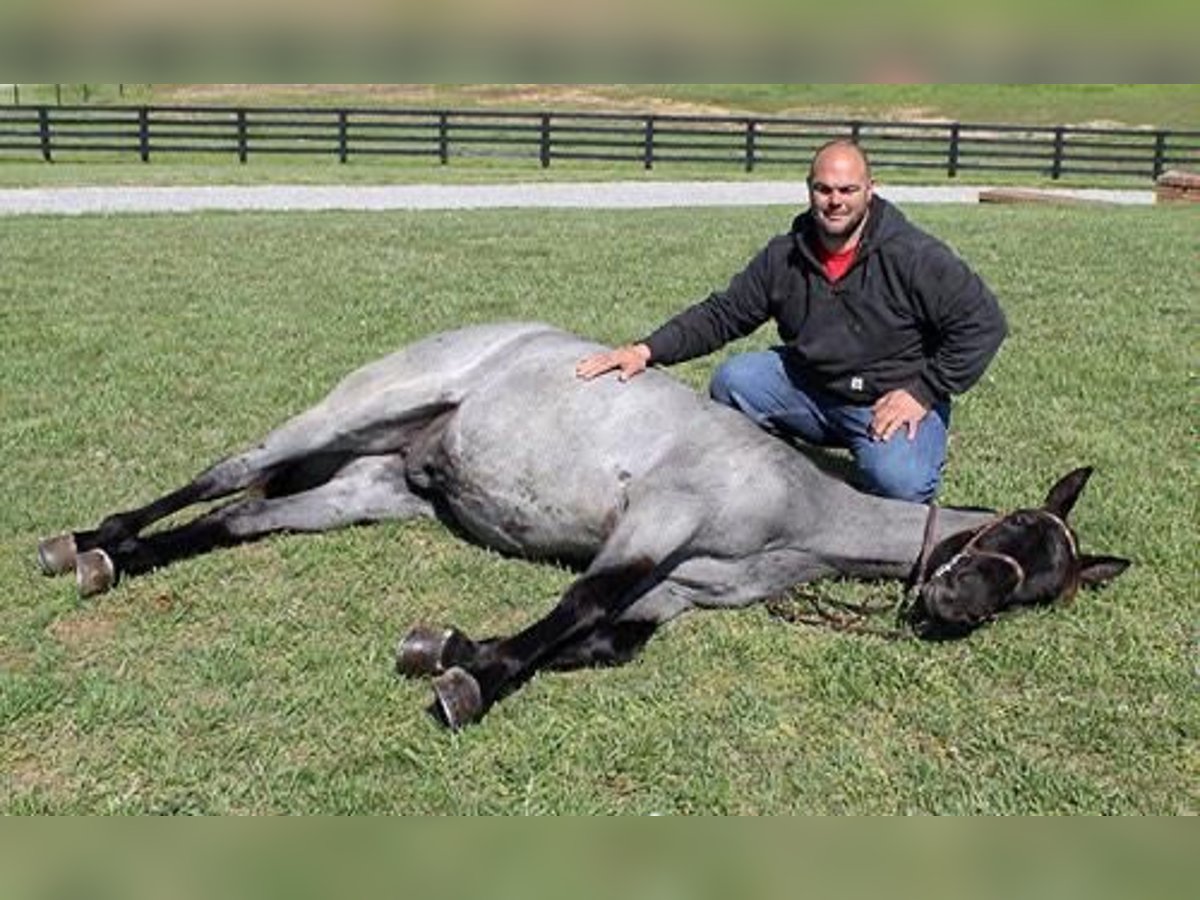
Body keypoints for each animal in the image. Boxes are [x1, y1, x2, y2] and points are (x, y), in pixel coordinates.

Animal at [37, 322, 1129, 728]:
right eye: (1010, 531)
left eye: (1040, 589)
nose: (954, 602)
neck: (796, 508)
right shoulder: (654, 524)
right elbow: (574, 609)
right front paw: (467, 682)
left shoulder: (674, 594)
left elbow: (600, 641)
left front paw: (448, 648)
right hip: (346, 417)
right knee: (223, 474)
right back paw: (86, 542)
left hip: (369, 487)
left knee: (242, 518)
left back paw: (121, 560)